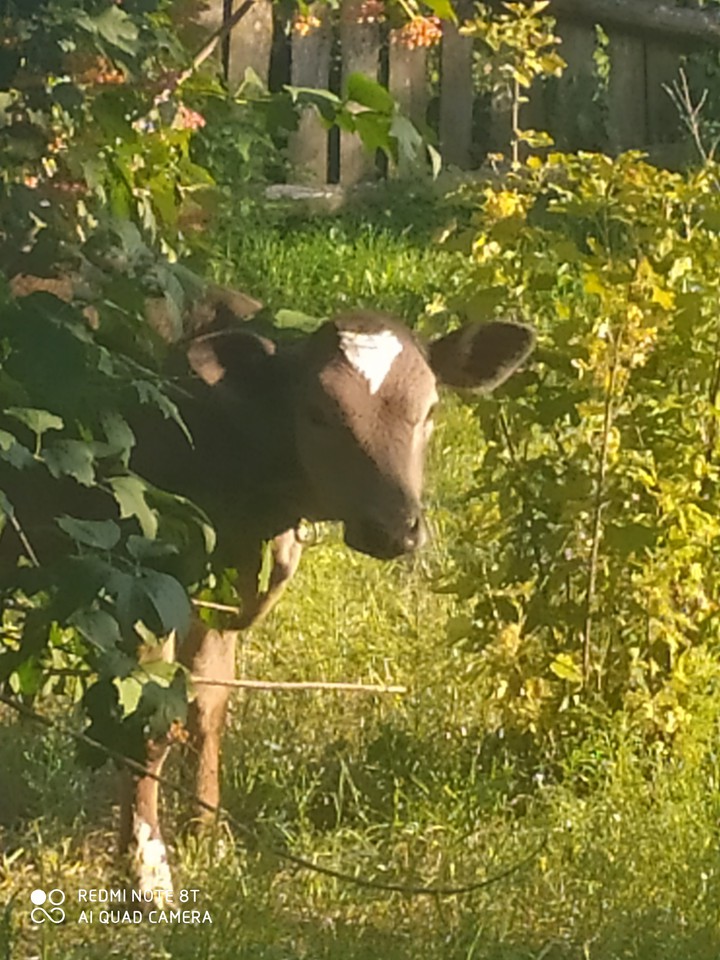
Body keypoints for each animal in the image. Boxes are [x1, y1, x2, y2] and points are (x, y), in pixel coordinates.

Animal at [123, 307, 535, 900]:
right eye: (316, 413)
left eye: (431, 409)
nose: (393, 528)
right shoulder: (138, 583)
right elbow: (148, 721)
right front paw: (148, 870)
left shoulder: (224, 594)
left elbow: (208, 704)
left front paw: (207, 835)